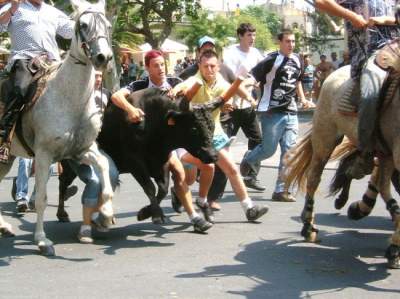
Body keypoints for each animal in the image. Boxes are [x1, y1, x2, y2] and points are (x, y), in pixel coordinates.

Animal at [0, 0, 115, 256]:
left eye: (108, 25)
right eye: (83, 25)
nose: (103, 57)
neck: (69, 98)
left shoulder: (81, 150)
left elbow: (103, 165)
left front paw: (106, 214)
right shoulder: (44, 155)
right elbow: (41, 198)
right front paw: (42, 240)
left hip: (7, 157)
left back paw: (4, 227)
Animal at [56, 88, 220, 224]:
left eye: (212, 126)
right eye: (194, 128)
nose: (213, 155)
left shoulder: (162, 162)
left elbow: (163, 189)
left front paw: (146, 212)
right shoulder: (135, 163)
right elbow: (150, 188)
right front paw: (155, 215)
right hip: (69, 165)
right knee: (63, 182)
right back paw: (62, 213)